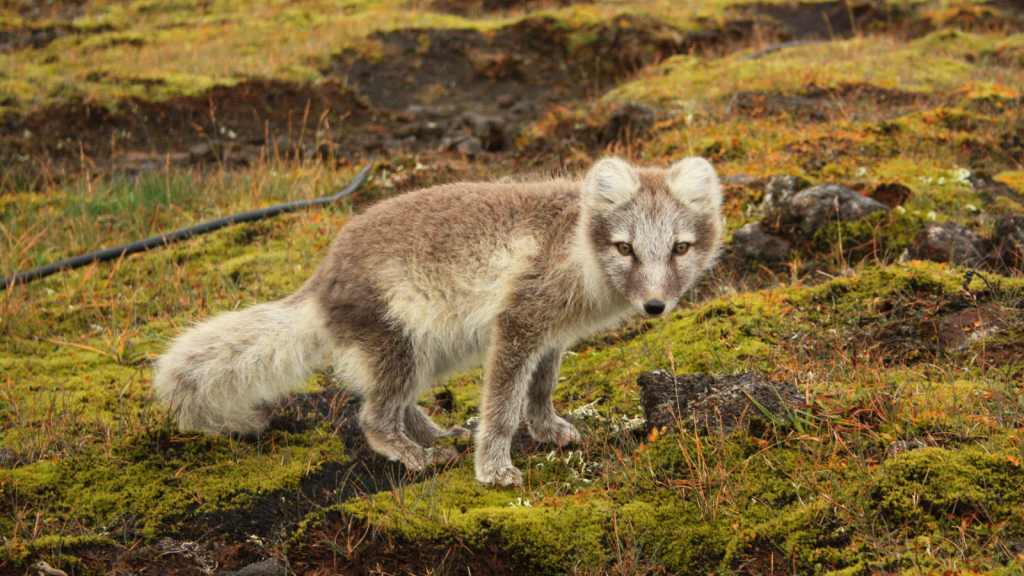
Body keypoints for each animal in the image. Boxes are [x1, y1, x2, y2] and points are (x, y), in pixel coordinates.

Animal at [155, 156, 724, 483]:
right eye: (625, 248)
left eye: (680, 248)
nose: (655, 306)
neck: (575, 250)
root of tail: (320, 282)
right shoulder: (518, 325)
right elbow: (502, 407)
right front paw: (494, 468)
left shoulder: (550, 337)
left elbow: (540, 392)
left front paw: (548, 430)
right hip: (400, 346)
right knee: (371, 418)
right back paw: (416, 456)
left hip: (430, 353)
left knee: (396, 404)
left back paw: (434, 433)